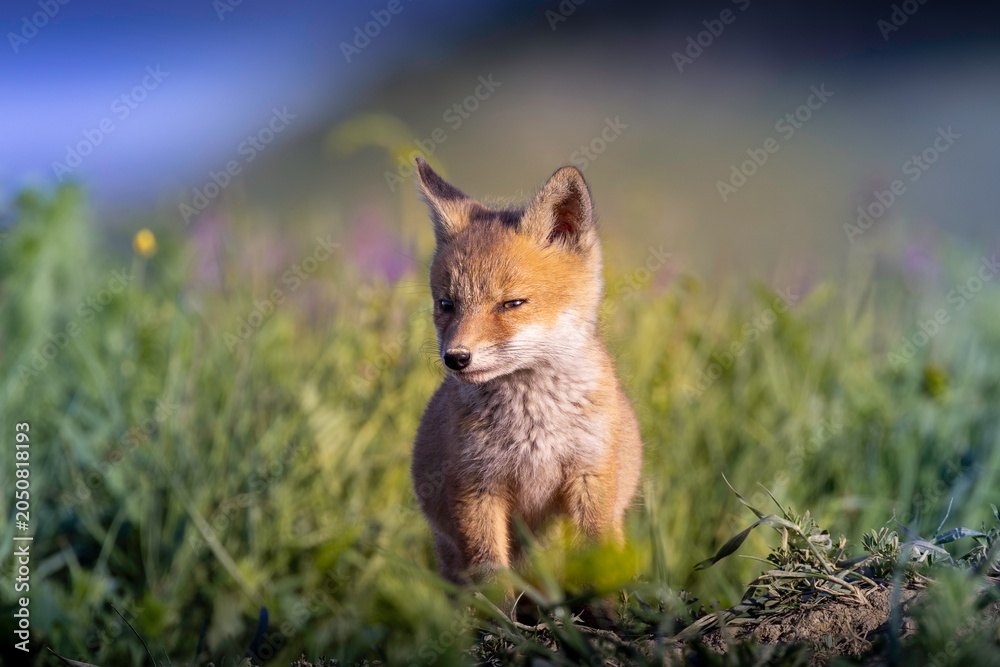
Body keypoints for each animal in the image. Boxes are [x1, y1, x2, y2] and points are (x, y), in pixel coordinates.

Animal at [410, 157, 643, 595]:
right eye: (447, 304)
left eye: (512, 304)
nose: (456, 358)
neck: (534, 426)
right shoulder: (475, 487)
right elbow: (492, 580)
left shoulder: (590, 478)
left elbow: (597, 568)